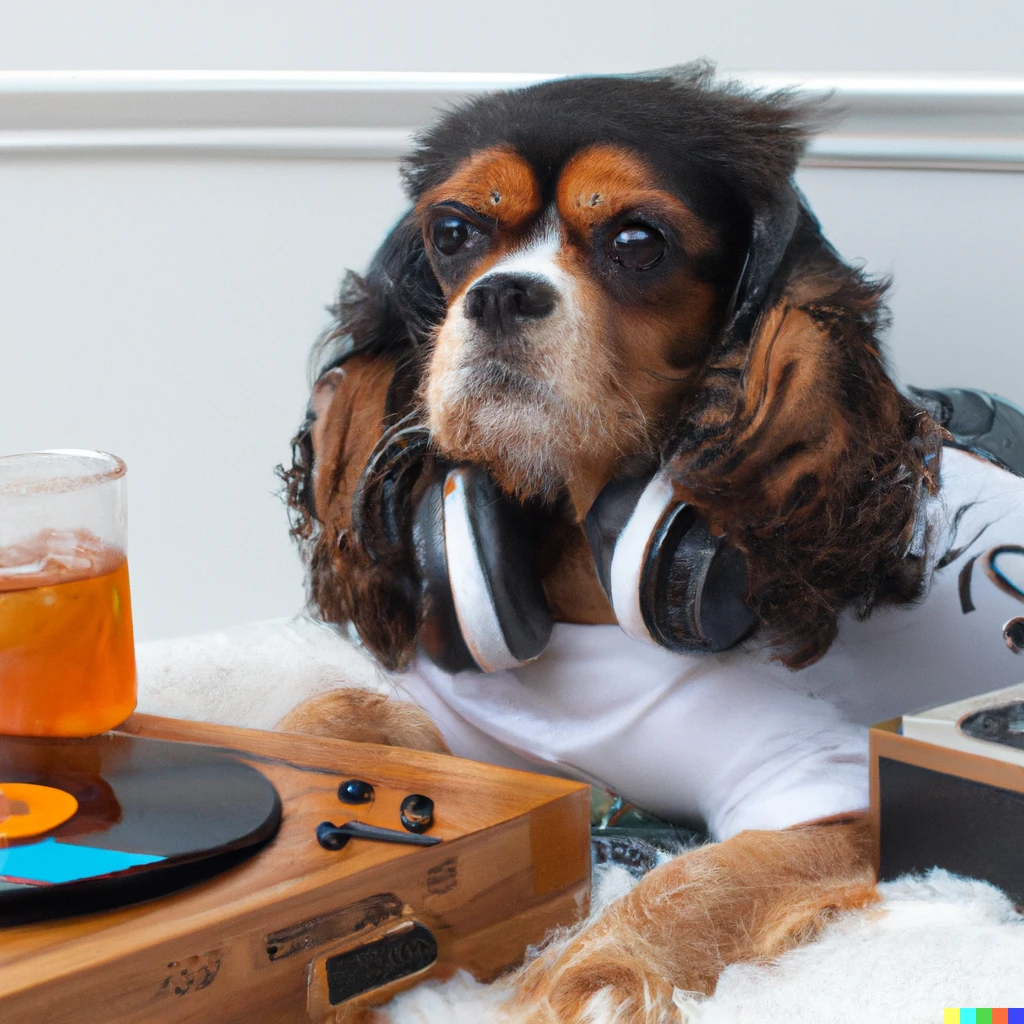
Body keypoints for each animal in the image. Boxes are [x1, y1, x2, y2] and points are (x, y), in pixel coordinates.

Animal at [276, 66, 1024, 1024]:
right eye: (453, 233)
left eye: (637, 240)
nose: (501, 293)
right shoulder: (475, 734)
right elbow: (324, 720)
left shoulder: (826, 791)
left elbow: (686, 889)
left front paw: (551, 986)